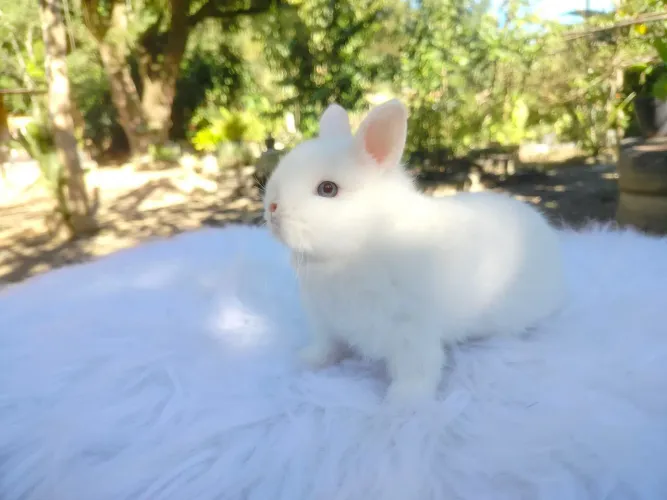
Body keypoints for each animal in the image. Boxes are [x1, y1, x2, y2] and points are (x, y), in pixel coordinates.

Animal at [263, 99, 566, 405]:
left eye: (328, 189)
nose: (272, 207)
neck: (358, 248)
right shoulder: (326, 322)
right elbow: (326, 346)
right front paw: (305, 361)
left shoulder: (413, 331)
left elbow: (416, 368)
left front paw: (402, 404)